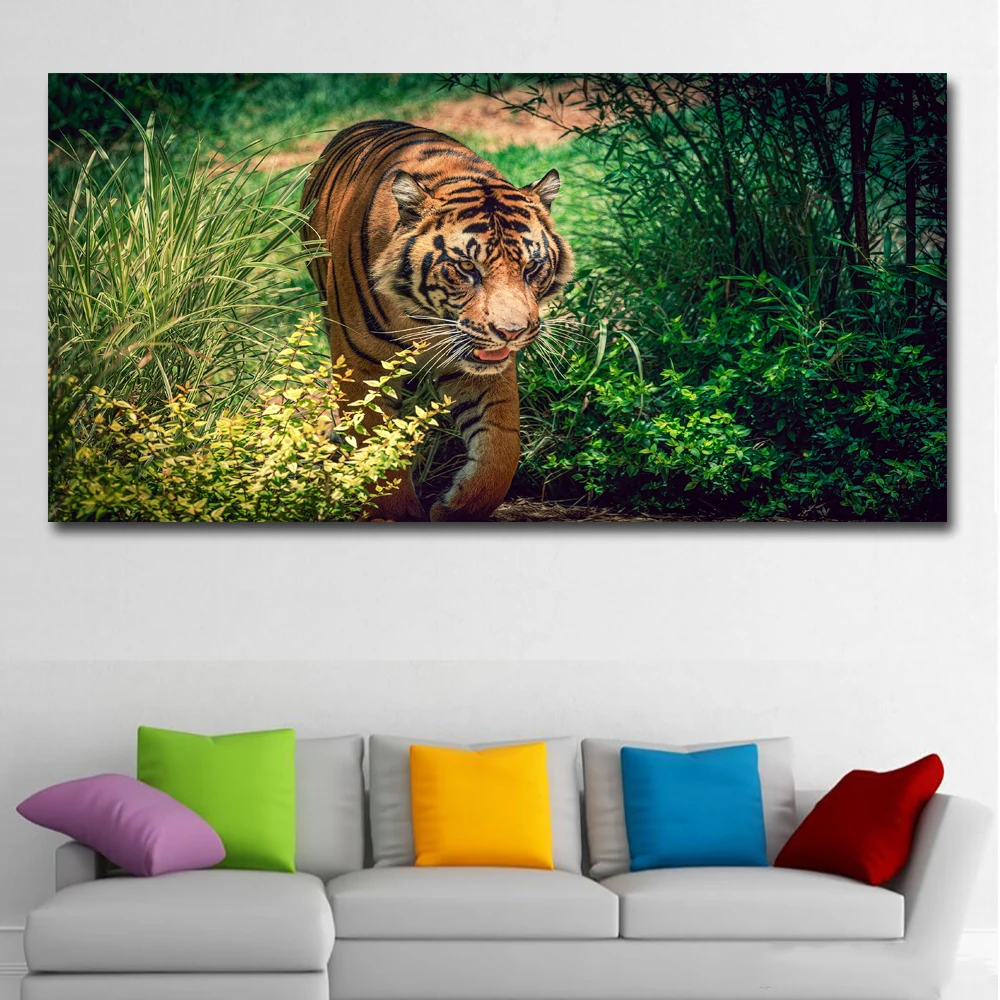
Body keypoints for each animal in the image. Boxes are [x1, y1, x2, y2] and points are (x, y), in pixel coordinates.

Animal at [300, 119, 573, 521]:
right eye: (467, 268)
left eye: (532, 268)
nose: (512, 333)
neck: (425, 321)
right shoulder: (362, 364)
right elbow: (376, 447)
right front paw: (395, 512)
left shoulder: (485, 369)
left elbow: (501, 450)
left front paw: (455, 508)